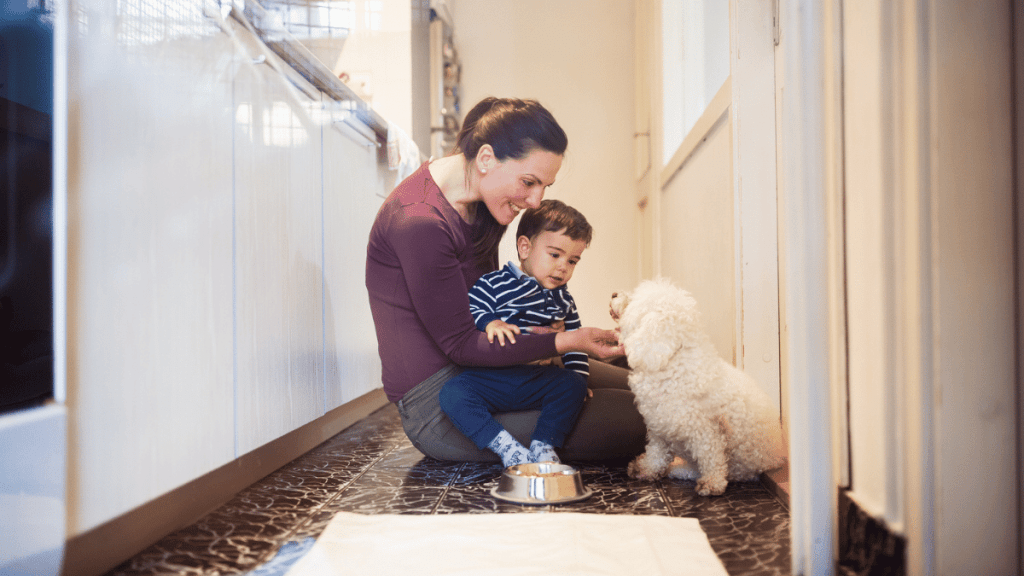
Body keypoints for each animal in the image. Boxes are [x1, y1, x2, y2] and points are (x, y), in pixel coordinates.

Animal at [606, 278, 782, 494]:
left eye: (632, 300)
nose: (613, 294)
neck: (671, 363)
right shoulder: (659, 428)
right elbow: (656, 453)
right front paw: (646, 469)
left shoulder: (706, 430)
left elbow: (711, 457)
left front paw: (713, 482)